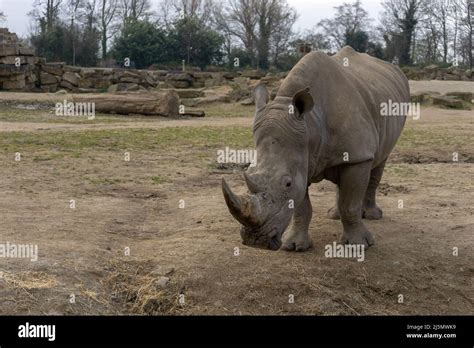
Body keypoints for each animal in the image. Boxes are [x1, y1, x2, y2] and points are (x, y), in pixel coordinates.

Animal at [220, 47, 410, 253]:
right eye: (248, 175)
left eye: (287, 184)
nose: (255, 241)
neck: (310, 126)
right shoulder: (302, 160)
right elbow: (302, 206)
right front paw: (294, 246)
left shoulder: (358, 156)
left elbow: (350, 204)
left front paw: (358, 246)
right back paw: (334, 215)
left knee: (379, 161)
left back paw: (372, 215)